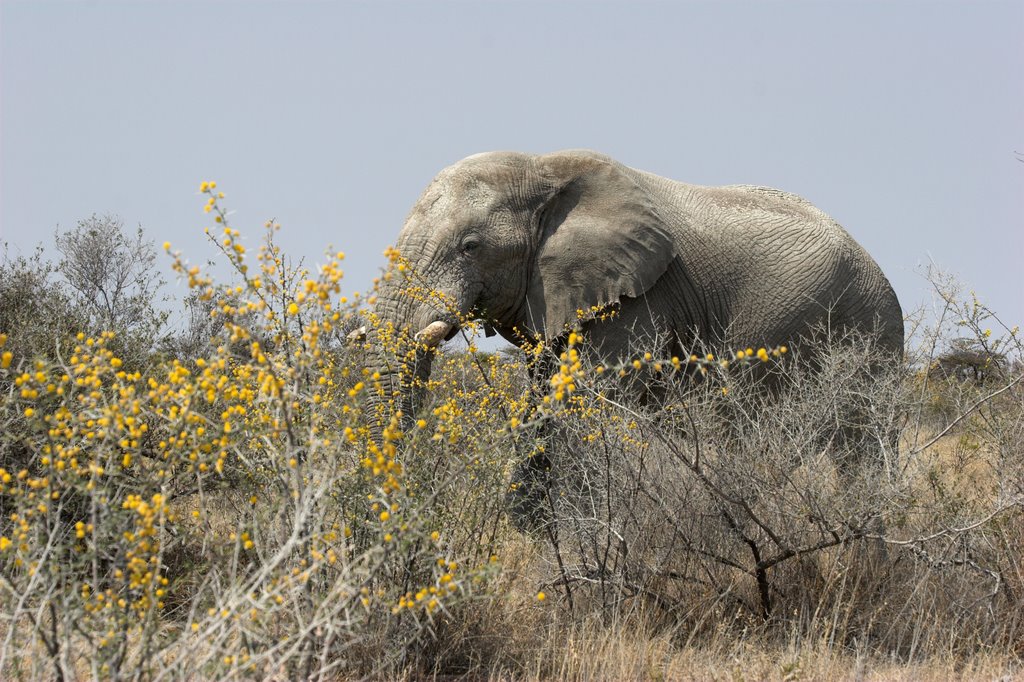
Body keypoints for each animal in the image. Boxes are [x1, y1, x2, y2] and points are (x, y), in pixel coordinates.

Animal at [366, 148, 905, 493]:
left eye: (470, 246)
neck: (543, 169)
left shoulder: (638, 298)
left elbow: (585, 406)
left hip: (869, 333)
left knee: (861, 453)